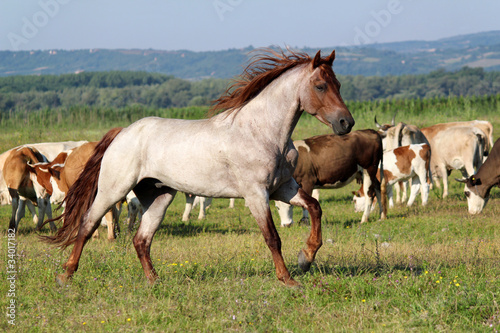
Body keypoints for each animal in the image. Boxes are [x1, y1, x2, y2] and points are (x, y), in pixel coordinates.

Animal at [43, 48, 356, 286]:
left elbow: (315, 208)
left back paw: (154, 281)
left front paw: (306, 258)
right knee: (87, 225)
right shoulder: (256, 194)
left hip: (159, 197)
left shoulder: (284, 188)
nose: (346, 123)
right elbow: (272, 237)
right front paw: (288, 279)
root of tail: (122, 133)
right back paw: (65, 275)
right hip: (113, 190)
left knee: (141, 240)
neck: (262, 131)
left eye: (339, 85)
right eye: (320, 86)